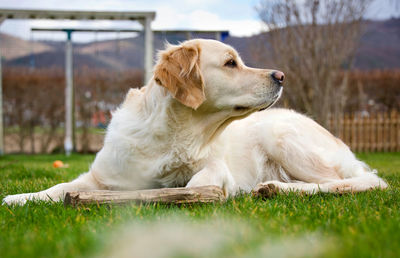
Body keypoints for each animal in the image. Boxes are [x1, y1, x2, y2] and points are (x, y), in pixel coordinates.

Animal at [1, 38, 386, 206]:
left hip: (281, 135)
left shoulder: (216, 167)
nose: (281, 76)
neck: (173, 134)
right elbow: (57, 188)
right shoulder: (99, 176)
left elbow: (198, 182)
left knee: (359, 182)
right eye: (230, 63)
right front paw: (21, 197)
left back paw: (276, 188)